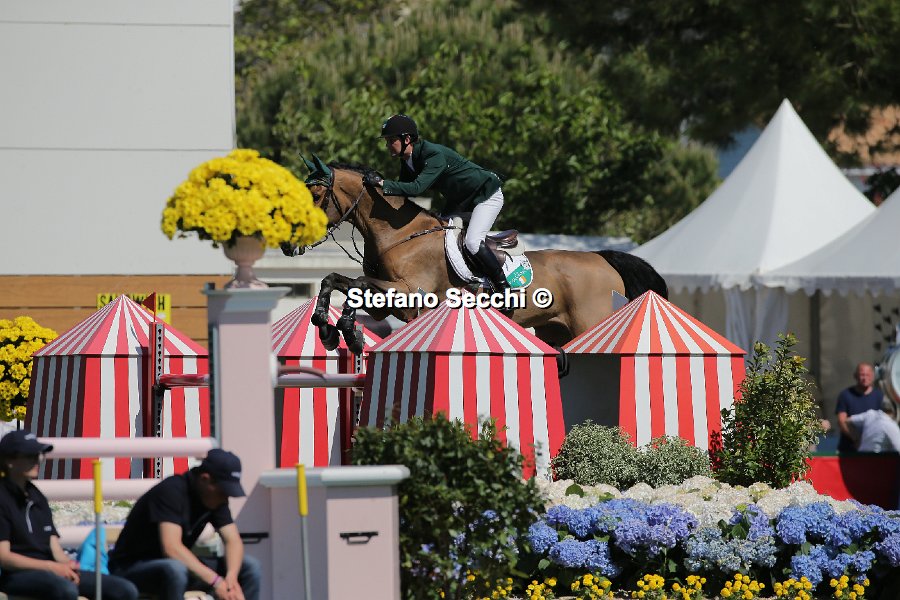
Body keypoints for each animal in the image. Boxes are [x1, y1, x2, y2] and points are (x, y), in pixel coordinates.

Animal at [289, 156, 668, 356]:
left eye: (317, 196)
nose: (288, 246)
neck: (399, 236)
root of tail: (602, 258)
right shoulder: (390, 304)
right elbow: (337, 280)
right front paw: (327, 328)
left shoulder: (410, 294)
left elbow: (356, 283)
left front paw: (347, 332)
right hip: (557, 330)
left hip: (589, 323)